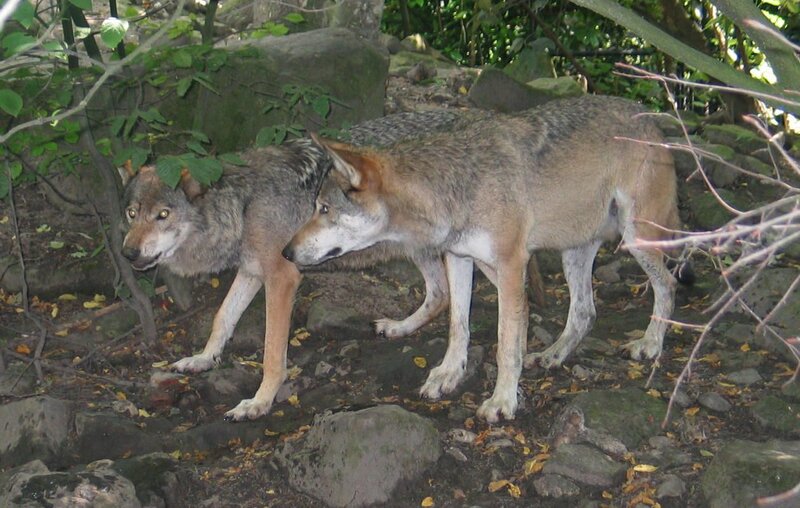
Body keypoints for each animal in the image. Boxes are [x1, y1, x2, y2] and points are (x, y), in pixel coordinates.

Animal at [120, 110, 478, 421]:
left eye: (162, 215)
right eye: (132, 213)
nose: (128, 253)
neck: (244, 205)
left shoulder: (281, 277)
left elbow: (271, 353)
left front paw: (258, 402)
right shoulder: (251, 271)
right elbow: (223, 318)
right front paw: (203, 359)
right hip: (418, 247)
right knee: (440, 293)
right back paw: (399, 327)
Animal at [283, 95, 688, 423]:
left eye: (323, 209)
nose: (286, 252)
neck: (452, 188)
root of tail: (648, 117)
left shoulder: (511, 266)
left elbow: (505, 342)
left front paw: (503, 401)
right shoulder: (458, 258)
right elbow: (458, 326)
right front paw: (449, 374)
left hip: (635, 238)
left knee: (667, 284)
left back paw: (650, 344)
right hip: (572, 250)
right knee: (585, 311)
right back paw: (553, 355)